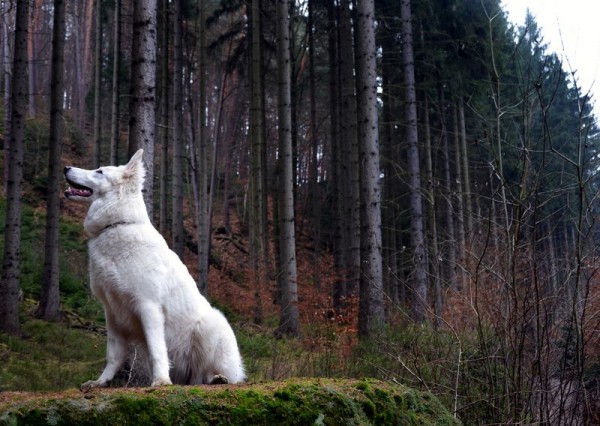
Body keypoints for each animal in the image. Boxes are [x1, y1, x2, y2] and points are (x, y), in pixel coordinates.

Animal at [64, 150, 245, 390]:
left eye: (99, 171)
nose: (65, 168)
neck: (117, 225)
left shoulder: (148, 307)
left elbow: (157, 349)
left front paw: (160, 381)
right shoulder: (111, 313)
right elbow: (113, 355)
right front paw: (101, 381)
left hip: (209, 326)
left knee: (218, 375)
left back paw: (218, 378)